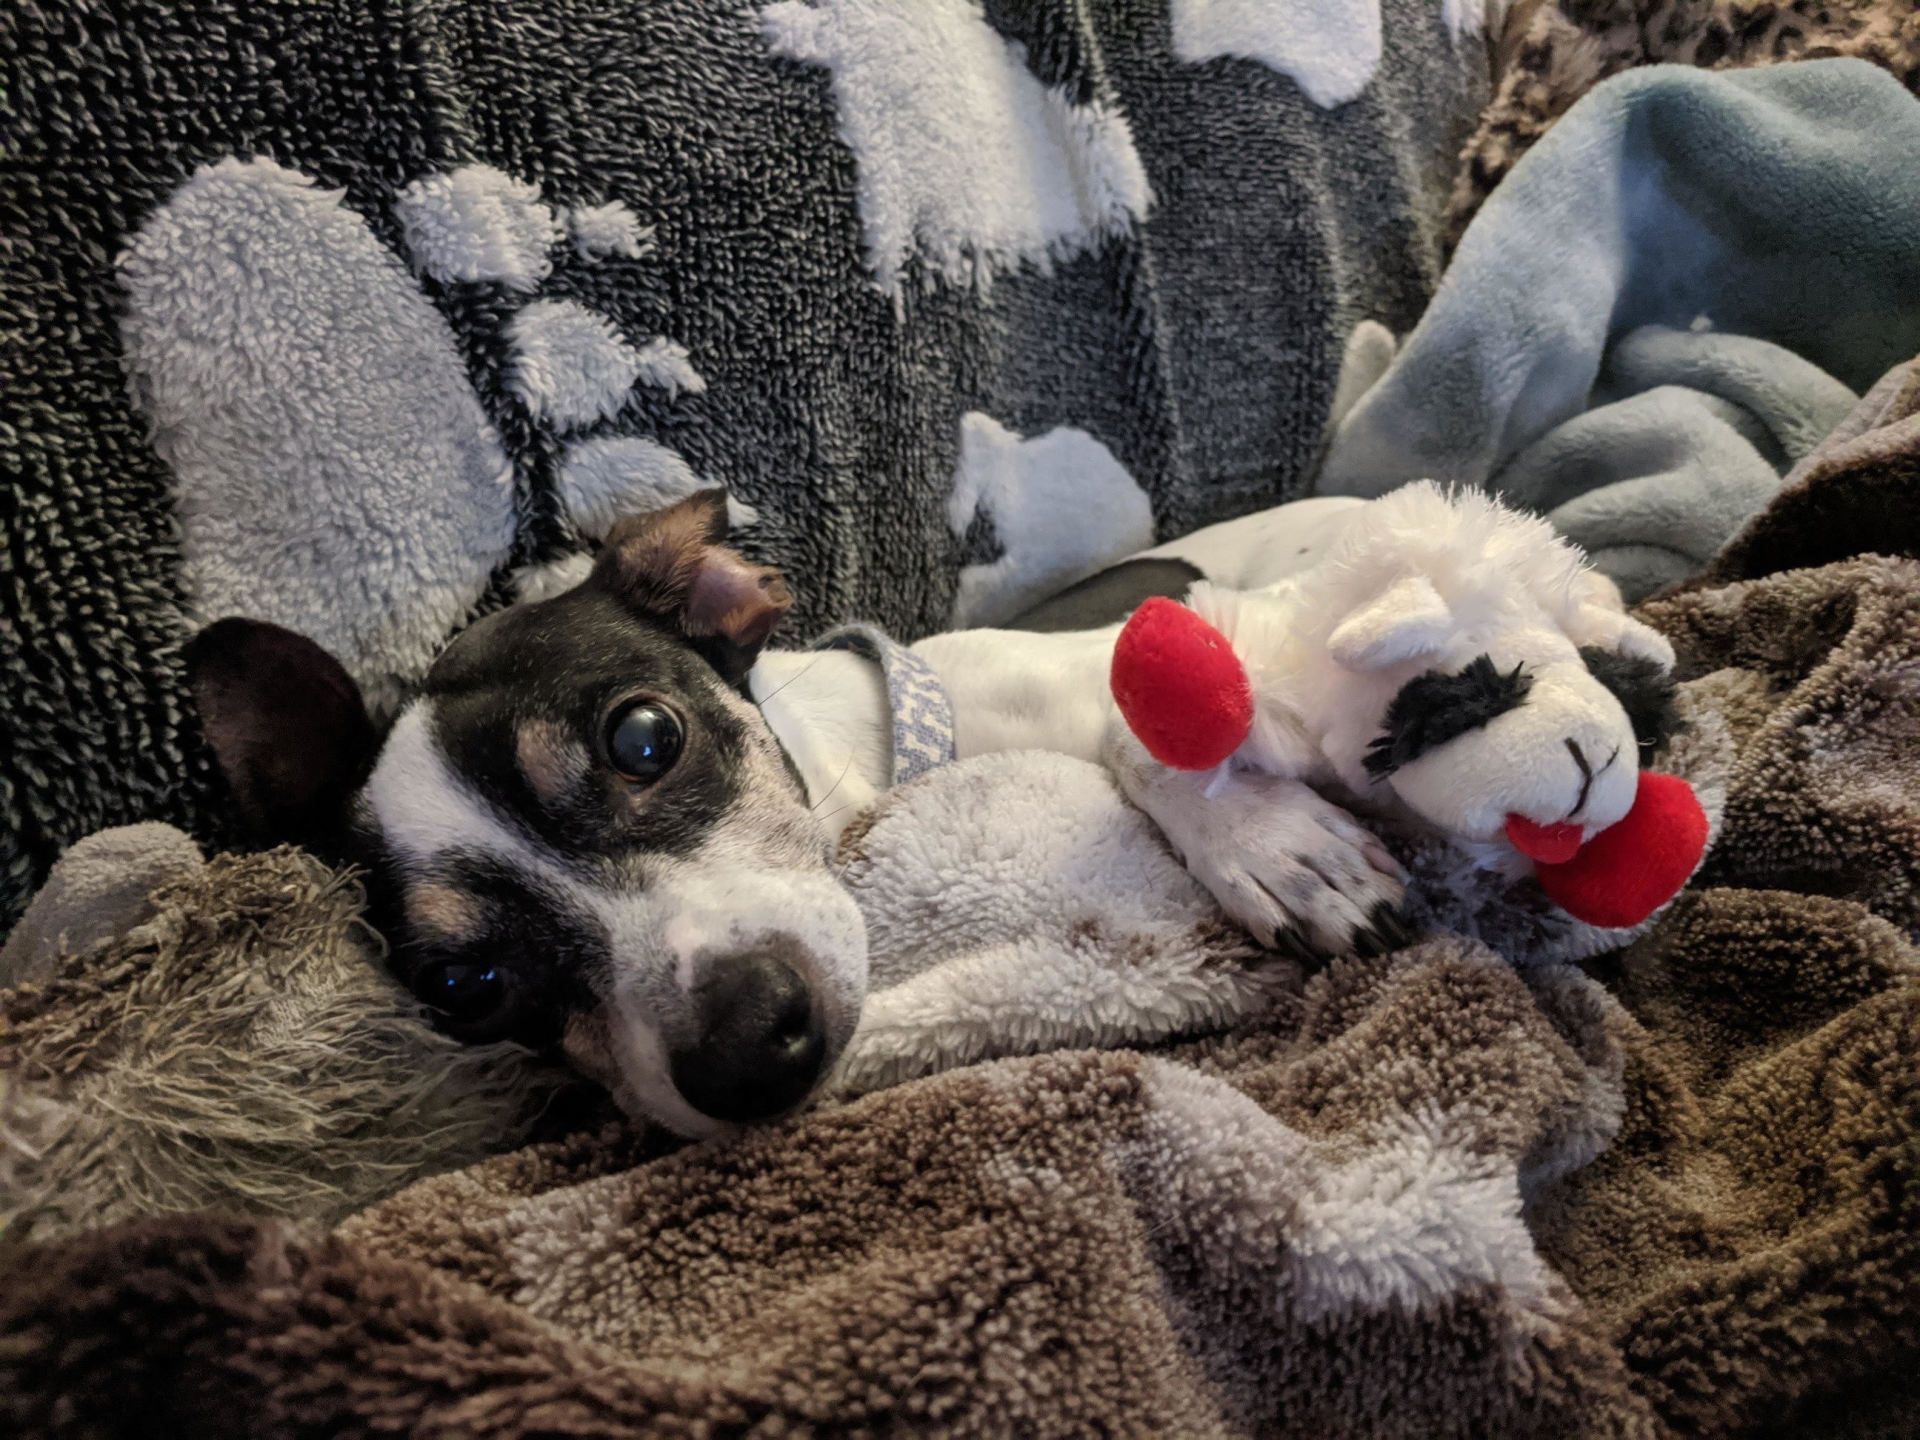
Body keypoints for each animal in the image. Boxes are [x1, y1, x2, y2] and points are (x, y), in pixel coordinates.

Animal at [191, 495, 1397, 1136]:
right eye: (465, 987)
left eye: (644, 739)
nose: (746, 1056)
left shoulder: (1140, 658)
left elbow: (1148, 732)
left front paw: (1274, 848)